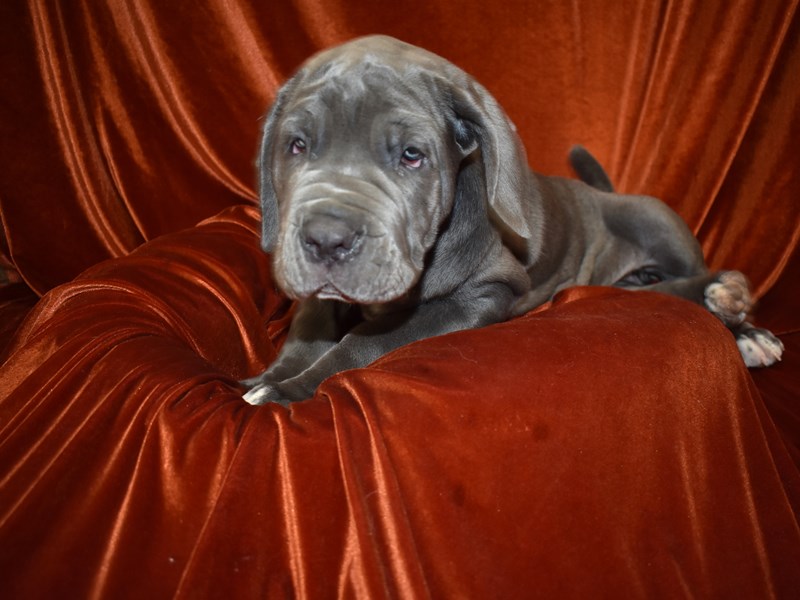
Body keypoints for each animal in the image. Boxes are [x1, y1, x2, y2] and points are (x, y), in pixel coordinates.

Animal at [242, 36, 780, 404]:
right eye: (297, 145)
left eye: (413, 155)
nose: (326, 240)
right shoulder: (319, 297)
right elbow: (308, 327)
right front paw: (270, 377)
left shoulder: (481, 294)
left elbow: (365, 343)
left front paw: (291, 389)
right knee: (662, 291)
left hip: (655, 221)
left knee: (687, 278)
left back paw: (738, 315)